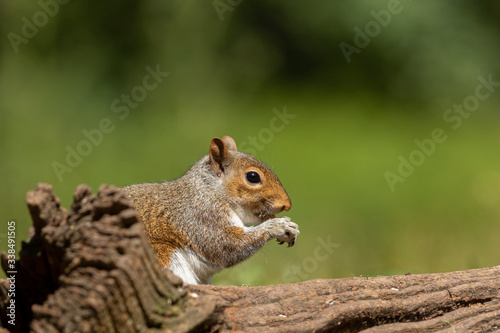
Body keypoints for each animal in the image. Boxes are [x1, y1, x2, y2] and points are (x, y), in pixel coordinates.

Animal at [122, 136, 298, 284]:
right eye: (253, 177)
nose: (286, 205)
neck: (211, 191)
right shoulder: (201, 216)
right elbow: (226, 245)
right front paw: (278, 226)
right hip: (162, 256)